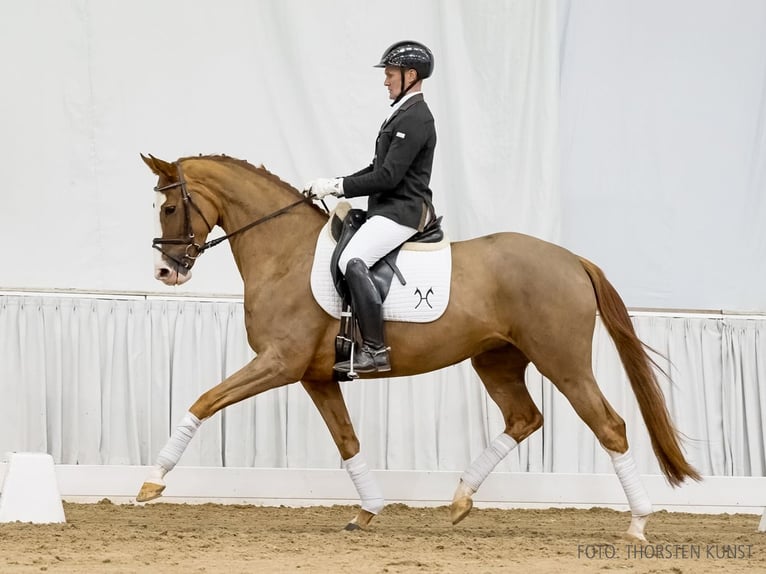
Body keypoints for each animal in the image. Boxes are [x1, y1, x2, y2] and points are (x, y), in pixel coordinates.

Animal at [138, 153, 704, 540]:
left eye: (170, 206)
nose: (165, 272)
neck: (286, 254)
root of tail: (572, 259)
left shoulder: (279, 363)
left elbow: (204, 400)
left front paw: (152, 481)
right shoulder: (315, 376)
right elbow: (348, 441)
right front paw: (368, 510)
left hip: (563, 362)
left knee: (610, 426)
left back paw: (638, 524)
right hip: (496, 360)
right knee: (524, 418)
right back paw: (459, 499)